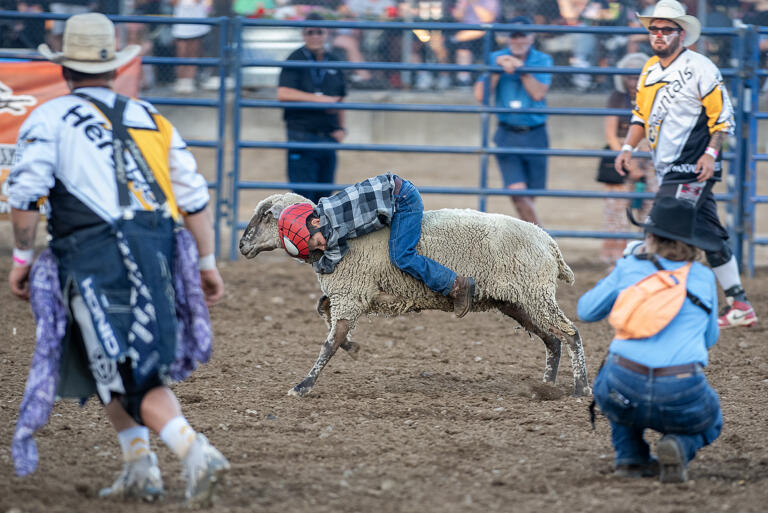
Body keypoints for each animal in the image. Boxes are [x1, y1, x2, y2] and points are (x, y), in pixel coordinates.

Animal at [243, 192, 592, 396]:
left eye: (266, 215)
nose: (242, 245)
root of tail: (549, 242)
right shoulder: (350, 294)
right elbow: (324, 314)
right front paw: (352, 347)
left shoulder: (351, 292)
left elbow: (330, 341)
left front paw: (303, 385)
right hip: (517, 300)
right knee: (552, 339)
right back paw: (546, 385)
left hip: (534, 293)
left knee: (570, 334)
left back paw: (581, 389)